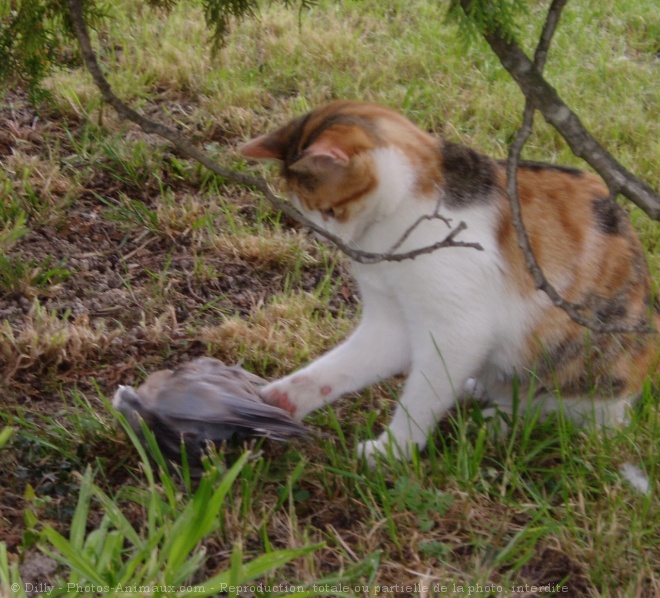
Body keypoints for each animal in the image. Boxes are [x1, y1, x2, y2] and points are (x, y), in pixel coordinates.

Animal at [240, 99, 656, 464]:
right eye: (302, 209)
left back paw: (497, 421)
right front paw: (285, 398)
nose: (326, 238)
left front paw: (393, 450)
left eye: (328, 210)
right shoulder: (391, 319)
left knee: (552, 412)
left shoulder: (458, 328)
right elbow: (343, 365)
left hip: (573, 365)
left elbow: (423, 395)